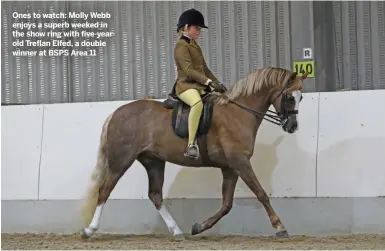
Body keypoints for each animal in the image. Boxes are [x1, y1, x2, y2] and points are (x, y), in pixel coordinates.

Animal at [79, 66, 308, 239]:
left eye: (301, 97)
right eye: (289, 97)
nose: (292, 126)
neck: (238, 112)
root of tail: (116, 113)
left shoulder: (230, 167)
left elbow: (227, 204)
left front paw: (199, 227)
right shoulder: (240, 161)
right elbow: (260, 194)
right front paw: (280, 227)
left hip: (154, 162)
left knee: (155, 195)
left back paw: (177, 231)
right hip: (121, 160)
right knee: (104, 190)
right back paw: (89, 230)